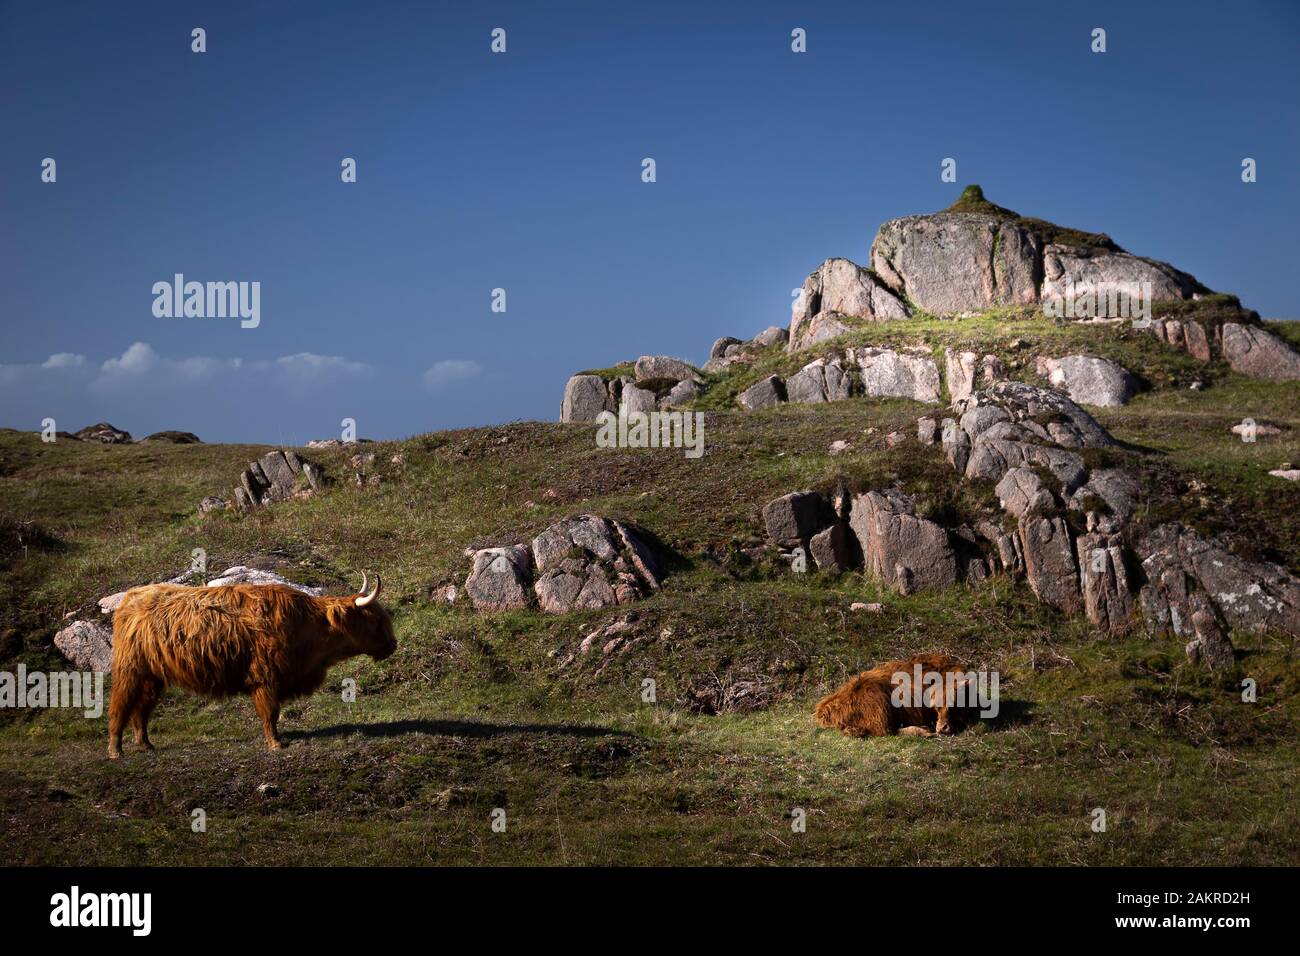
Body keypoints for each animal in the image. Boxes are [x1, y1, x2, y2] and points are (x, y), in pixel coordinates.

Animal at [107, 572, 396, 758]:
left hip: (152, 676)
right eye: (375, 619)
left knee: (141, 709)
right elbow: (270, 713)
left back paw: (145, 744)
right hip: (129, 670)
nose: (393, 644)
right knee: (120, 705)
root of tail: (131, 597)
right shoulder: (266, 677)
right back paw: (115, 750)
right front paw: (276, 744)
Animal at [813, 652, 980, 738]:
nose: (943, 728)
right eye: (936, 707)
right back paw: (923, 731)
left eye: (954, 705)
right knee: (888, 731)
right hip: (879, 706)